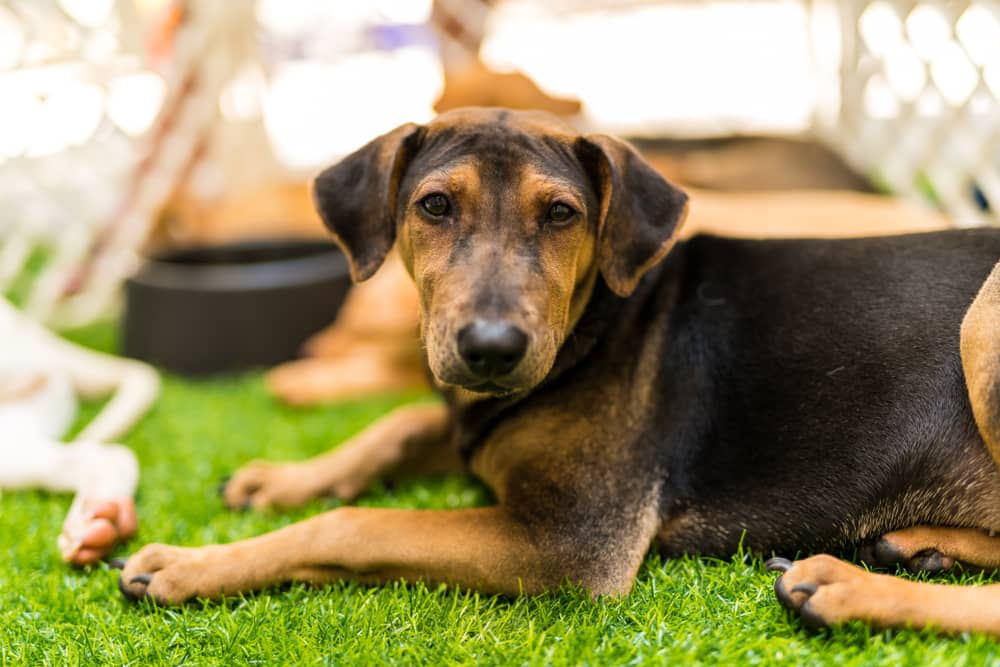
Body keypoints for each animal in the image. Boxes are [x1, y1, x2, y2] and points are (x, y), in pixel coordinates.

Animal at [117, 109, 1000, 636]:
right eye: (433, 206)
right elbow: (400, 422)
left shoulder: (572, 542)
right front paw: (282, 477)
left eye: (562, 214)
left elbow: (354, 525)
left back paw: (851, 585)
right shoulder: (473, 414)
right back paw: (920, 544)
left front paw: (191, 564)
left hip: (979, 326)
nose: (491, 348)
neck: (592, 328)